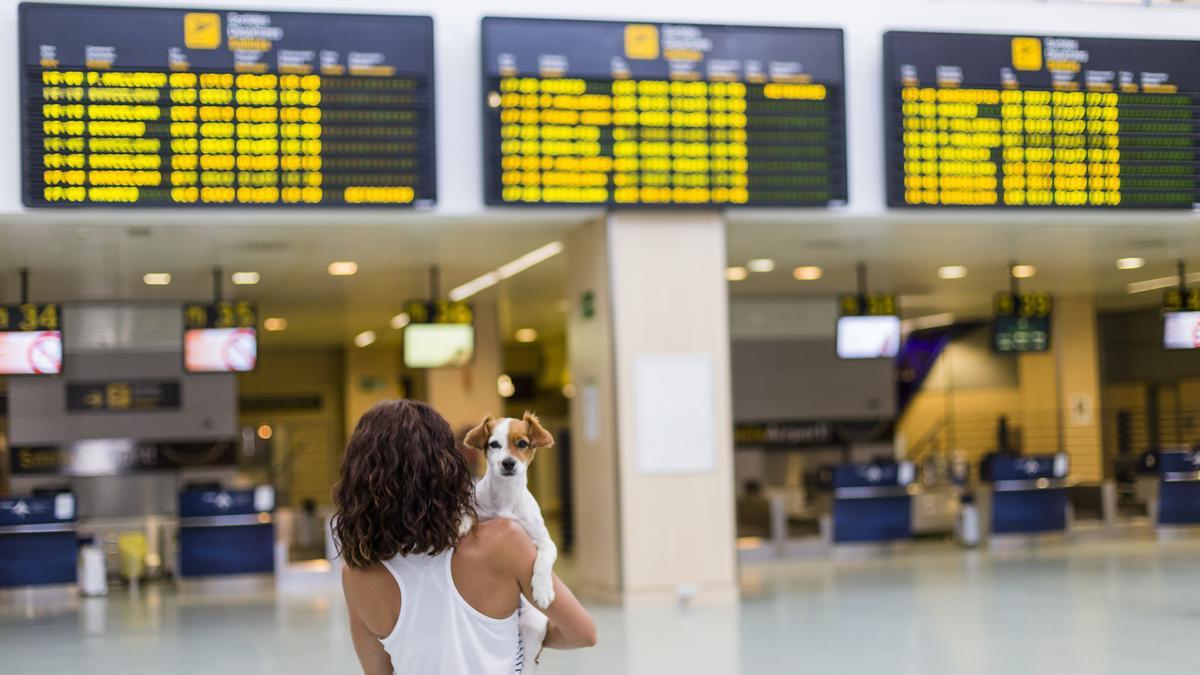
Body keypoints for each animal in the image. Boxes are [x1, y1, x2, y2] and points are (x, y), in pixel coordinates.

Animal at [463, 410, 556, 667]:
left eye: (522, 443)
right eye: (494, 444)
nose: (508, 463)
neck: (505, 496)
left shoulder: (546, 543)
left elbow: (543, 560)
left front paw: (542, 588)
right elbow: (469, 512)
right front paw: (461, 521)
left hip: (533, 623)